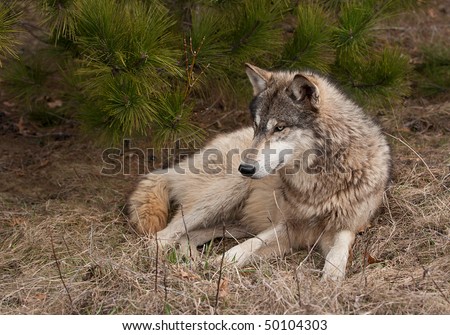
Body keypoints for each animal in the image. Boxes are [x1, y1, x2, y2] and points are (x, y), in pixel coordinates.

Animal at [127, 63, 390, 280]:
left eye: (279, 128)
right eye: (257, 127)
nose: (246, 167)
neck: (317, 184)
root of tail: (177, 166)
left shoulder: (347, 224)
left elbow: (340, 249)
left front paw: (332, 278)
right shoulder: (289, 225)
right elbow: (249, 246)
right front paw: (220, 264)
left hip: (234, 221)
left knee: (187, 236)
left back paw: (190, 259)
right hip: (227, 192)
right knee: (162, 236)